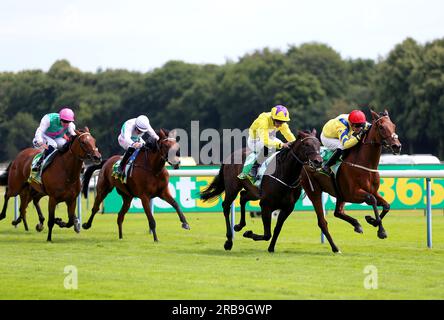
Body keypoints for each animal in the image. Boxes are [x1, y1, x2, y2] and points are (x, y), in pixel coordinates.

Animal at [302, 110, 402, 252]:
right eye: (381, 127)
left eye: (394, 126)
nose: (397, 146)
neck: (364, 163)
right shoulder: (353, 193)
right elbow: (372, 199)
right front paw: (381, 230)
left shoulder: (372, 191)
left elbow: (386, 205)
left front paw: (371, 220)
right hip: (314, 191)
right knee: (322, 221)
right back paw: (335, 247)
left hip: (339, 194)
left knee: (338, 212)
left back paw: (356, 224)